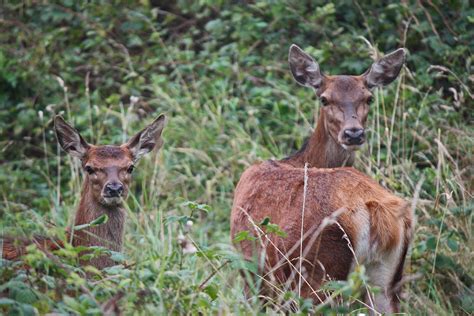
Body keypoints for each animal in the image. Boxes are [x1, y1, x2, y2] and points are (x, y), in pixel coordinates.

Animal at [231, 45, 412, 314]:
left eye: (368, 98)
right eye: (324, 99)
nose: (353, 133)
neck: (298, 159)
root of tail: (372, 209)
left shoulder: (252, 272)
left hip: (319, 271)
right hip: (387, 279)